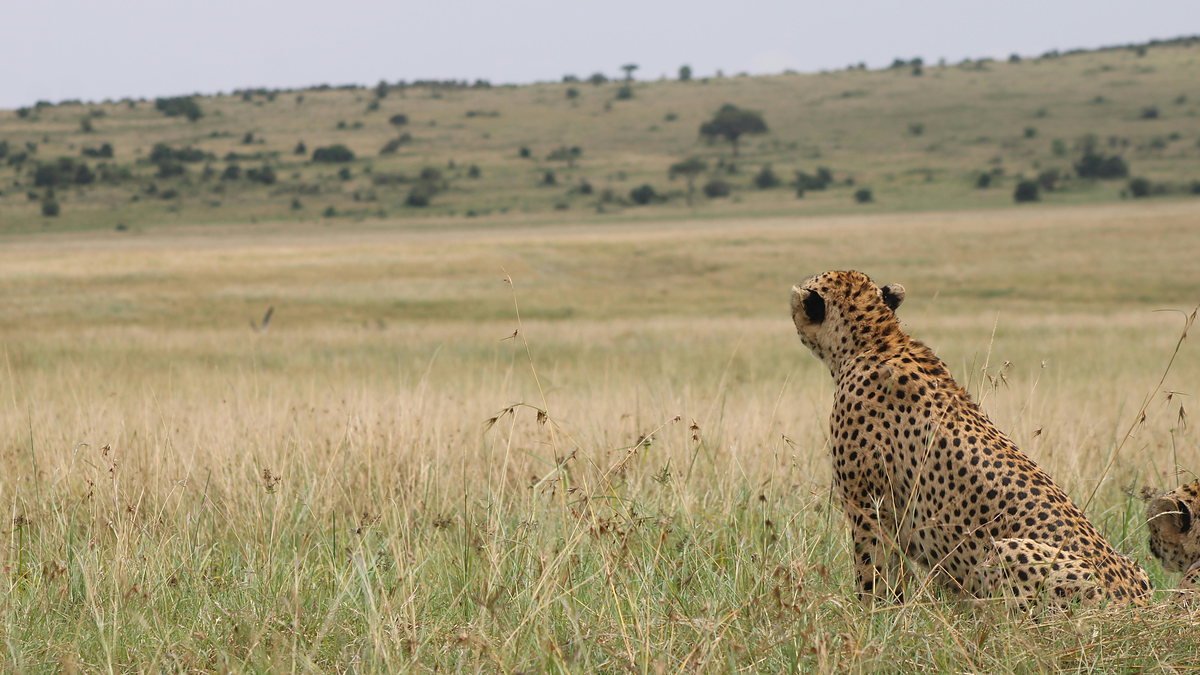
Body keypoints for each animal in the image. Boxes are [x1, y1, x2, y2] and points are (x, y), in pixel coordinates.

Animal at [791, 270, 1151, 609]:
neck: (875, 339)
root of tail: (1138, 604)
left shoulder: (868, 504)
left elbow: (873, 573)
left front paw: (874, 617)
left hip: (1005, 551)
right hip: (1139, 568)